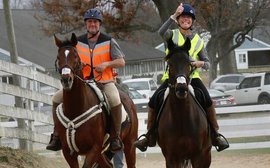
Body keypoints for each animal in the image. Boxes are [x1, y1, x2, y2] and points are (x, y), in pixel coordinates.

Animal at [53, 33, 137, 168]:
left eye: (75, 56)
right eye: (58, 57)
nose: (66, 80)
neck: (75, 108)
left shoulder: (94, 149)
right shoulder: (68, 152)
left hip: (129, 145)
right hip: (102, 153)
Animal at [157, 38, 212, 168]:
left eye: (189, 64)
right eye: (170, 64)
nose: (181, 88)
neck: (181, 118)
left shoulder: (199, 156)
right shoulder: (172, 158)